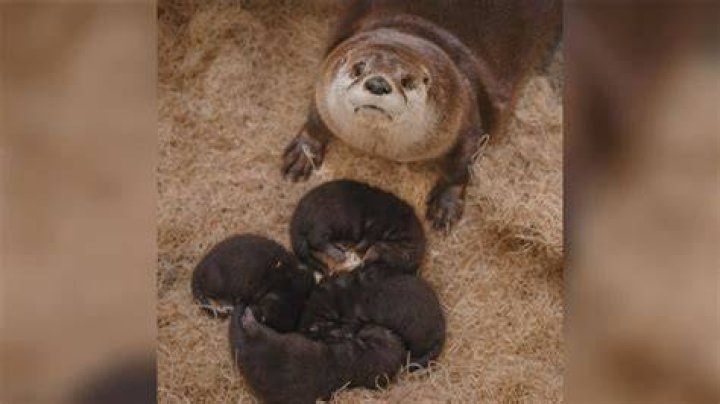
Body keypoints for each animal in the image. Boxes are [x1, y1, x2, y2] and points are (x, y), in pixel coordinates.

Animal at [282, 0, 561, 230]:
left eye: (406, 81)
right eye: (358, 68)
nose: (378, 84)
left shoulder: (465, 110)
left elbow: (463, 161)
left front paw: (446, 205)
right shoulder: (326, 73)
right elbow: (316, 115)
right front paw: (303, 154)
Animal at [290, 180, 425, 275]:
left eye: (382, 263)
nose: (367, 260)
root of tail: (297, 217)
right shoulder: (379, 223)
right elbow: (368, 238)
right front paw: (358, 248)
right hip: (322, 221)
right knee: (315, 239)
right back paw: (338, 254)